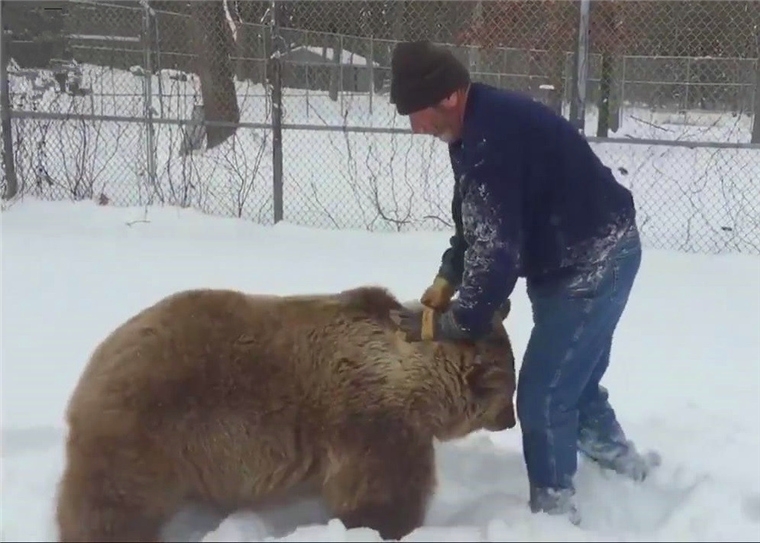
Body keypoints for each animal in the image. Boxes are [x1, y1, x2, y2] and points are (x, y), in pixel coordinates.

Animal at [55, 286, 516, 540]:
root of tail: (96, 360)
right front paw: (382, 525)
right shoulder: (373, 423)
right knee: (113, 502)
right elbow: (382, 491)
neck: (416, 384)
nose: (511, 419)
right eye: (509, 391)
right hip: (148, 425)